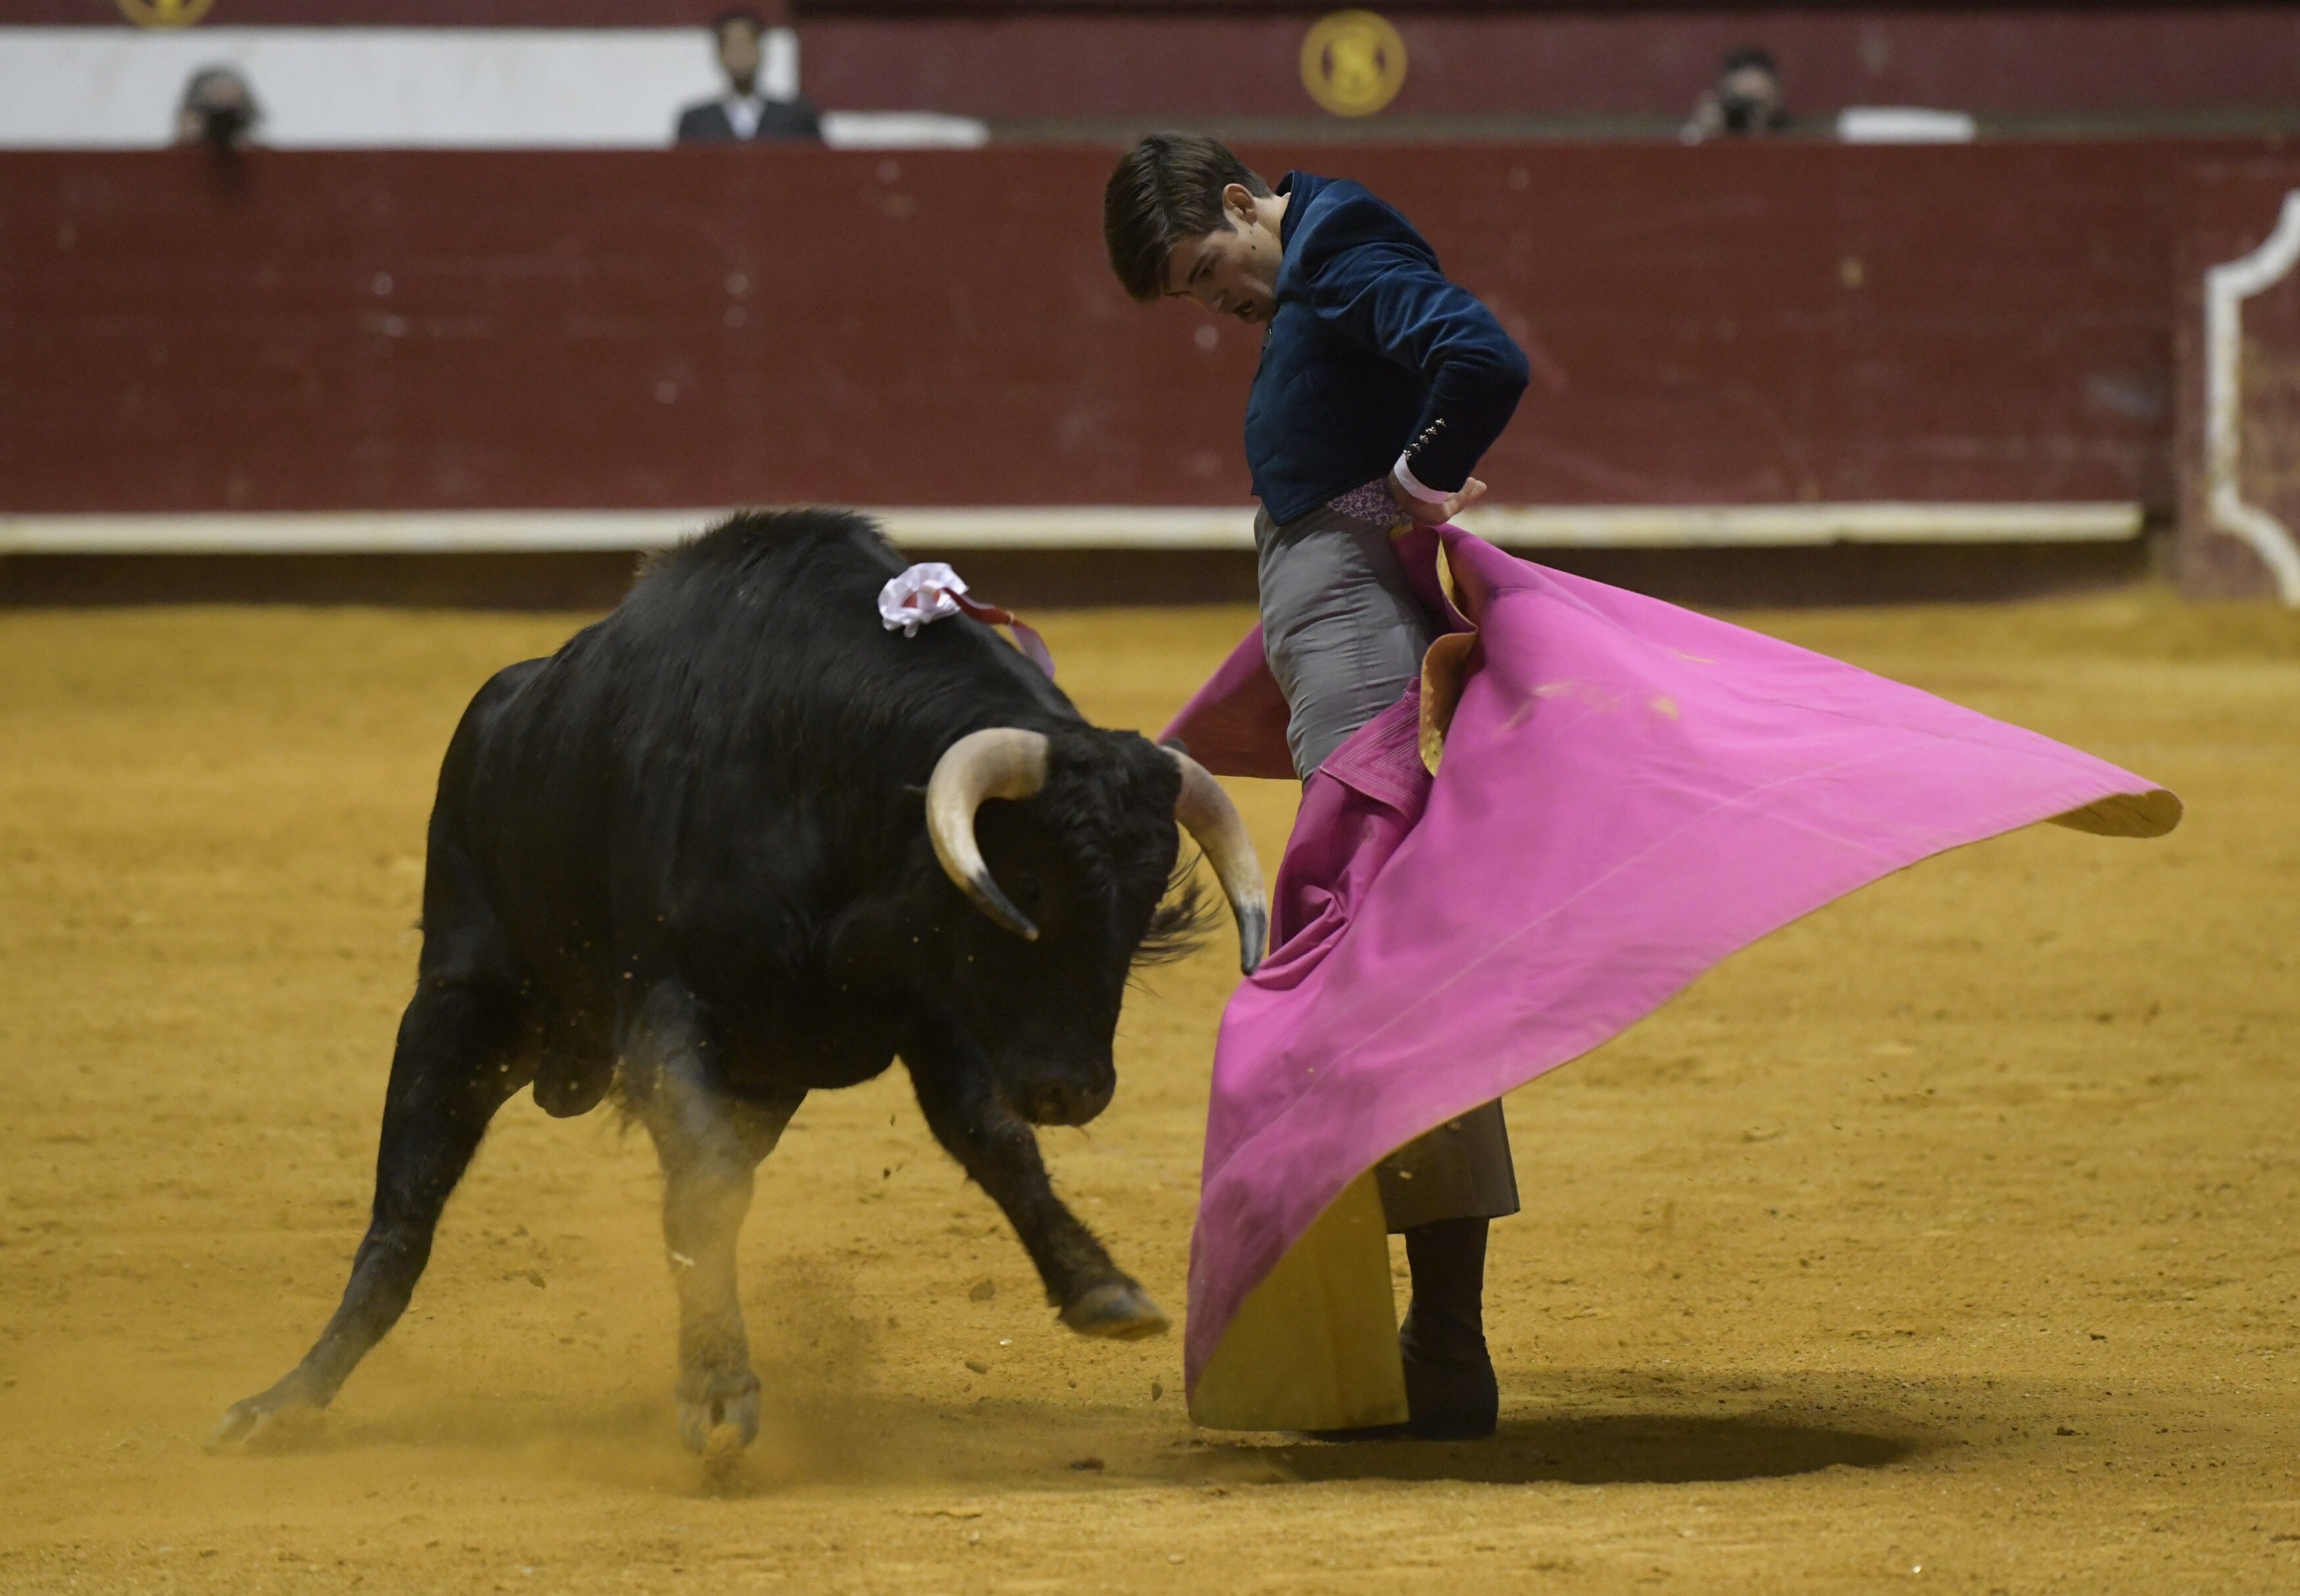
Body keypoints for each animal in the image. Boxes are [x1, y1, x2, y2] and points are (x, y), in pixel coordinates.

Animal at [207, 513, 1270, 1463]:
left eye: (1142, 902)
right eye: (1031, 884)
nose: (1074, 1089)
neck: (829, 771)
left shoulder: (931, 1010)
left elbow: (991, 1142)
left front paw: (1103, 1290)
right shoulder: (667, 1005)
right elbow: (706, 1185)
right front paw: (718, 1394)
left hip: (757, 1077)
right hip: (456, 1008)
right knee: (404, 1215)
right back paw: (280, 1403)